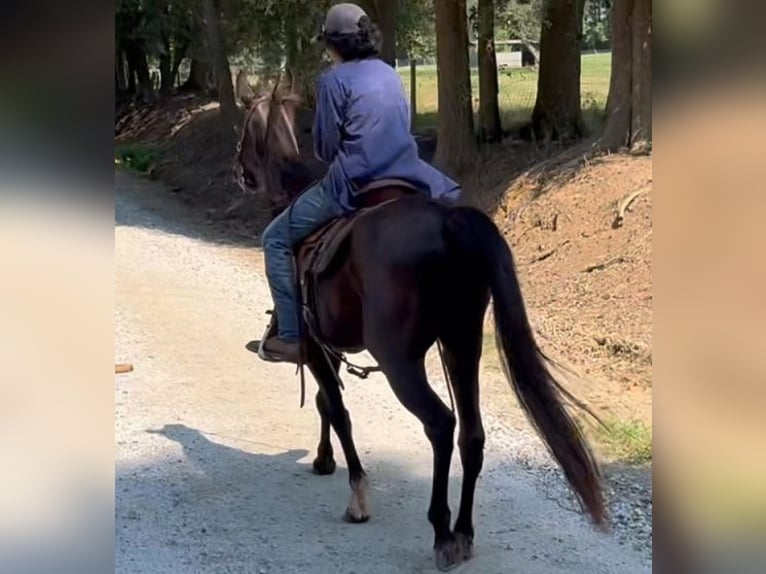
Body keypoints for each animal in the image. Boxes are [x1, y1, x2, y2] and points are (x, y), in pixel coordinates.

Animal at [234, 75, 607, 571]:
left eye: (245, 129)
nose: (240, 172)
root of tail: (450, 223)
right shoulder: (326, 349)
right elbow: (324, 403)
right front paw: (323, 459)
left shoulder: (313, 346)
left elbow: (336, 409)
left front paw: (357, 495)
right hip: (462, 344)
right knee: (471, 432)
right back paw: (464, 532)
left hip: (401, 361)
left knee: (441, 425)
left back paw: (442, 531)